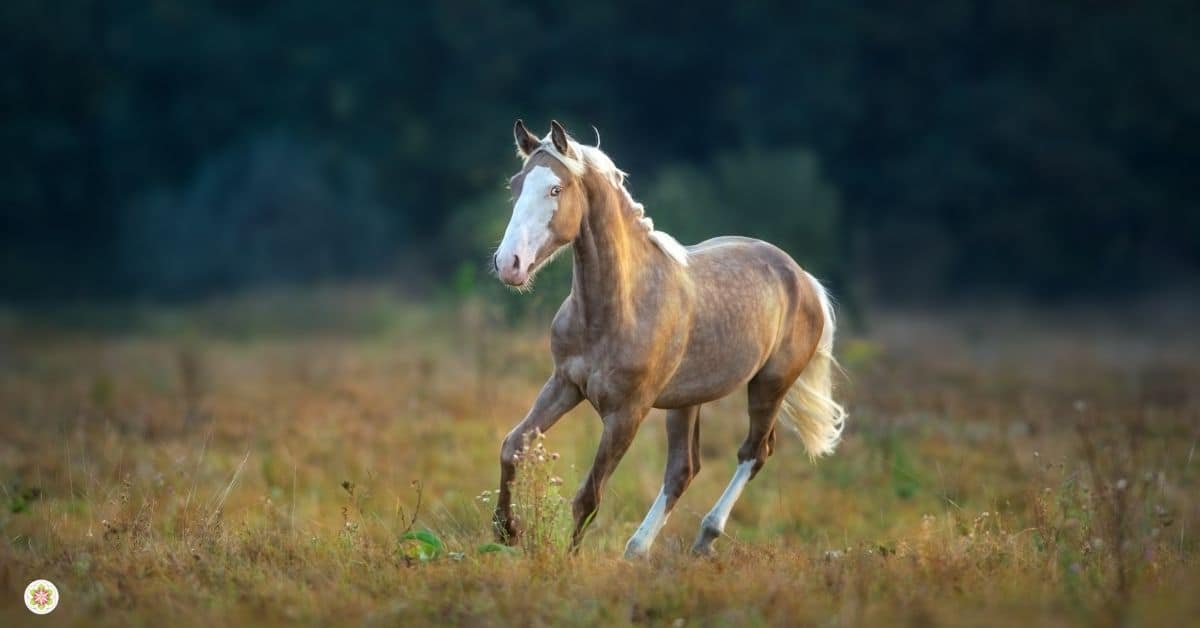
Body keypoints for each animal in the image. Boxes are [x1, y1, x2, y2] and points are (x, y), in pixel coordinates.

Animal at [491, 120, 846, 558]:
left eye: (556, 189)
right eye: (515, 184)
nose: (509, 264)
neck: (617, 309)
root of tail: (802, 278)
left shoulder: (628, 412)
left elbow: (589, 497)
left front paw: (567, 562)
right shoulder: (564, 384)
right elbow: (513, 446)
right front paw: (506, 532)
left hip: (769, 386)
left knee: (754, 452)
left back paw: (703, 538)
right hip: (686, 401)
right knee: (684, 468)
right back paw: (637, 549)